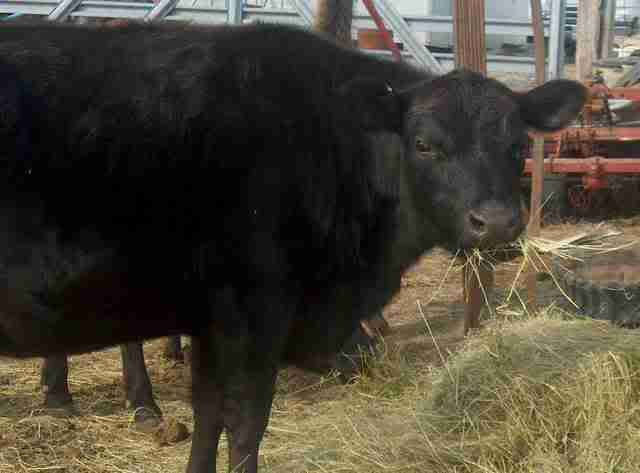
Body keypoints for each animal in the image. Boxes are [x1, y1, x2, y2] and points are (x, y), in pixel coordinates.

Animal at [0, 22, 586, 473]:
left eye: (519, 146)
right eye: (424, 144)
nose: (499, 222)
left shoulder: (213, 322)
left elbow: (208, 415)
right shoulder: (257, 311)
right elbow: (244, 423)